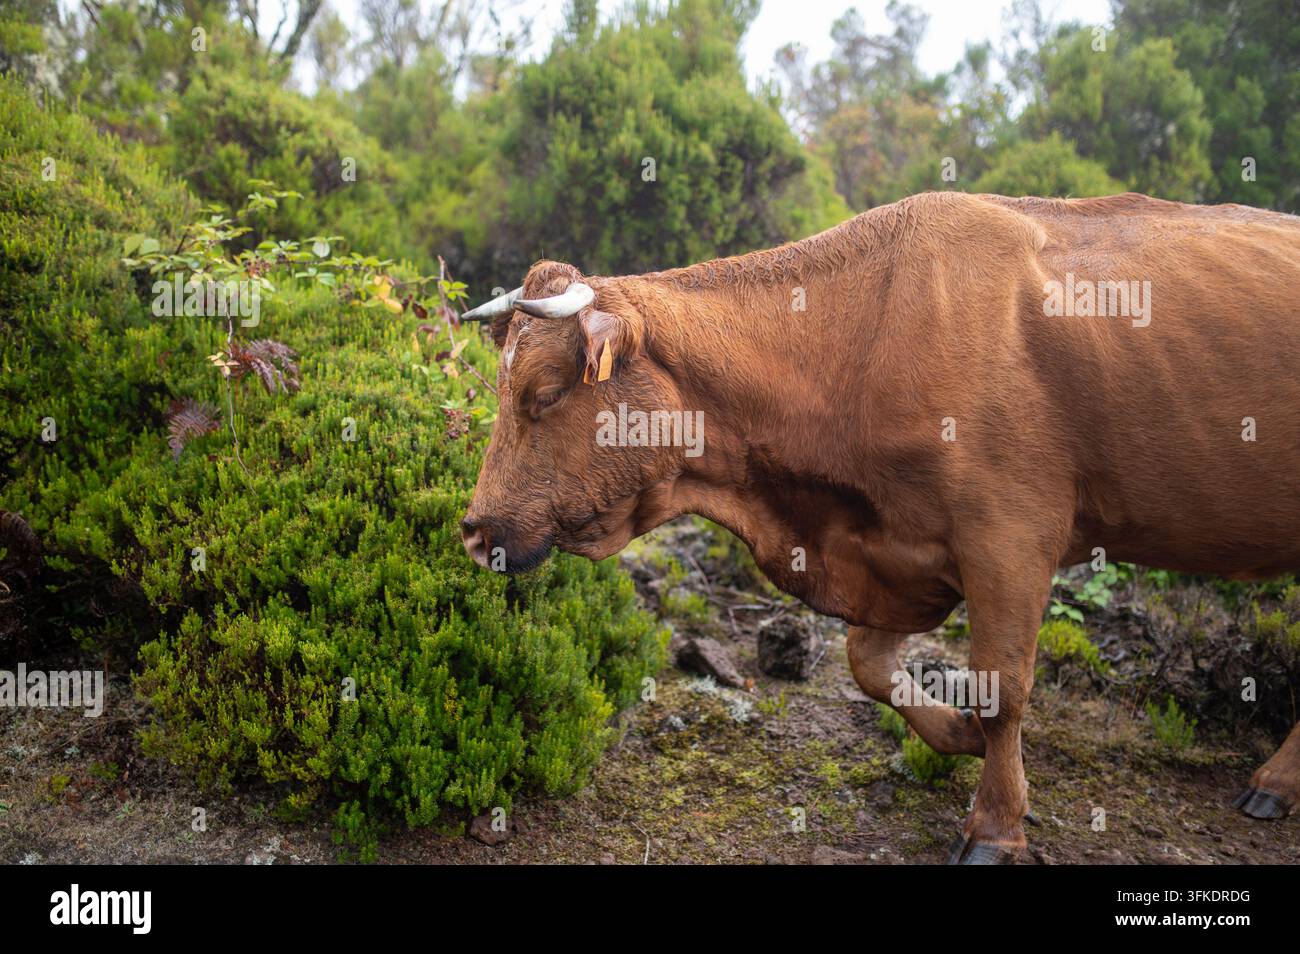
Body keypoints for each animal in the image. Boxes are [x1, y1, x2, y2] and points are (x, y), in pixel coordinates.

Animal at [458, 190, 1300, 863]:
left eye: (542, 394)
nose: (473, 532)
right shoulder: (900, 552)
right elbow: (869, 664)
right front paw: (957, 735)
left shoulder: (1010, 540)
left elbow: (1004, 687)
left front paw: (996, 825)